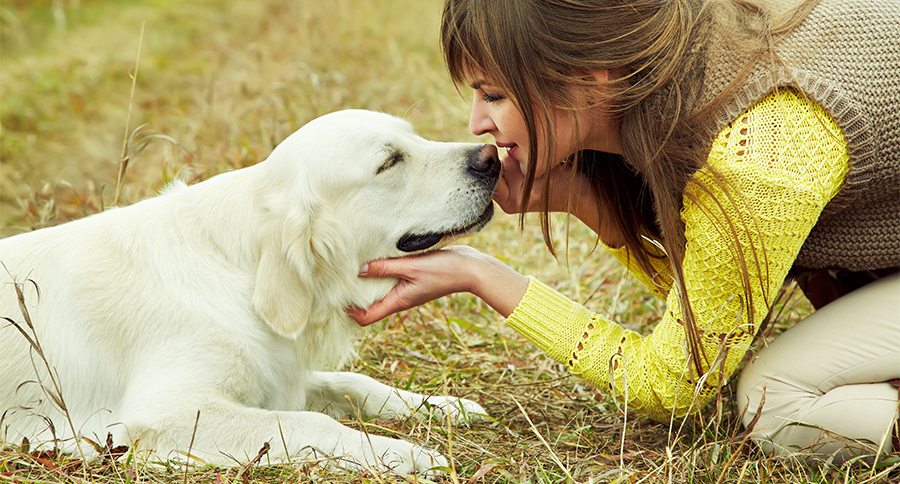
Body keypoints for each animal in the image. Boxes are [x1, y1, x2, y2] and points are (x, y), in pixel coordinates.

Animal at [0, 108, 500, 472]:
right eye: (389, 162)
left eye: (413, 138)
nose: (492, 156)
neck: (240, 269)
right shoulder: (165, 414)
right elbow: (312, 423)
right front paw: (405, 454)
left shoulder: (279, 374)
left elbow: (354, 384)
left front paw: (443, 406)